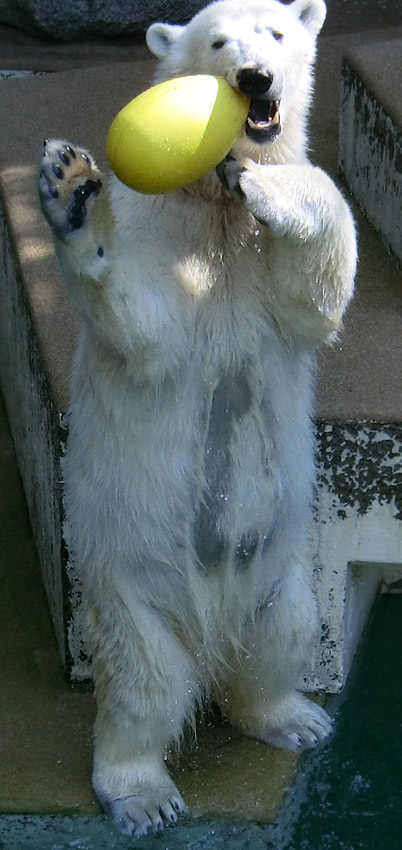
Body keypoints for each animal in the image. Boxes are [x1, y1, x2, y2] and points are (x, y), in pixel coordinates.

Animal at [39, 0, 356, 836]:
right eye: (217, 41)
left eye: (275, 34)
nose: (254, 78)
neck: (211, 213)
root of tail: (211, 635)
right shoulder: (161, 235)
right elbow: (145, 331)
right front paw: (73, 192)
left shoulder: (262, 277)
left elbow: (316, 294)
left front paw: (268, 185)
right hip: (128, 588)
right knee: (143, 685)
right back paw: (143, 794)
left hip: (284, 574)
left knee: (280, 640)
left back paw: (292, 716)